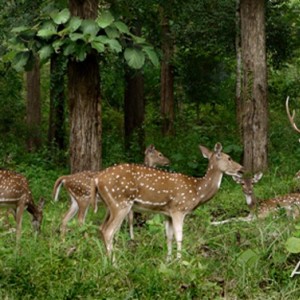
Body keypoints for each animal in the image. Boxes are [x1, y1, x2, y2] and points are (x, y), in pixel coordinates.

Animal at [91, 142, 244, 260]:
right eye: (229, 158)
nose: (241, 169)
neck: (197, 191)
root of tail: (97, 179)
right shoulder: (179, 209)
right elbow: (179, 237)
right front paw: (179, 262)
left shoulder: (167, 213)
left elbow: (169, 237)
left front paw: (168, 260)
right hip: (120, 203)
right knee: (108, 231)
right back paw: (114, 264)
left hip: (110, 206)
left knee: (101, 228)